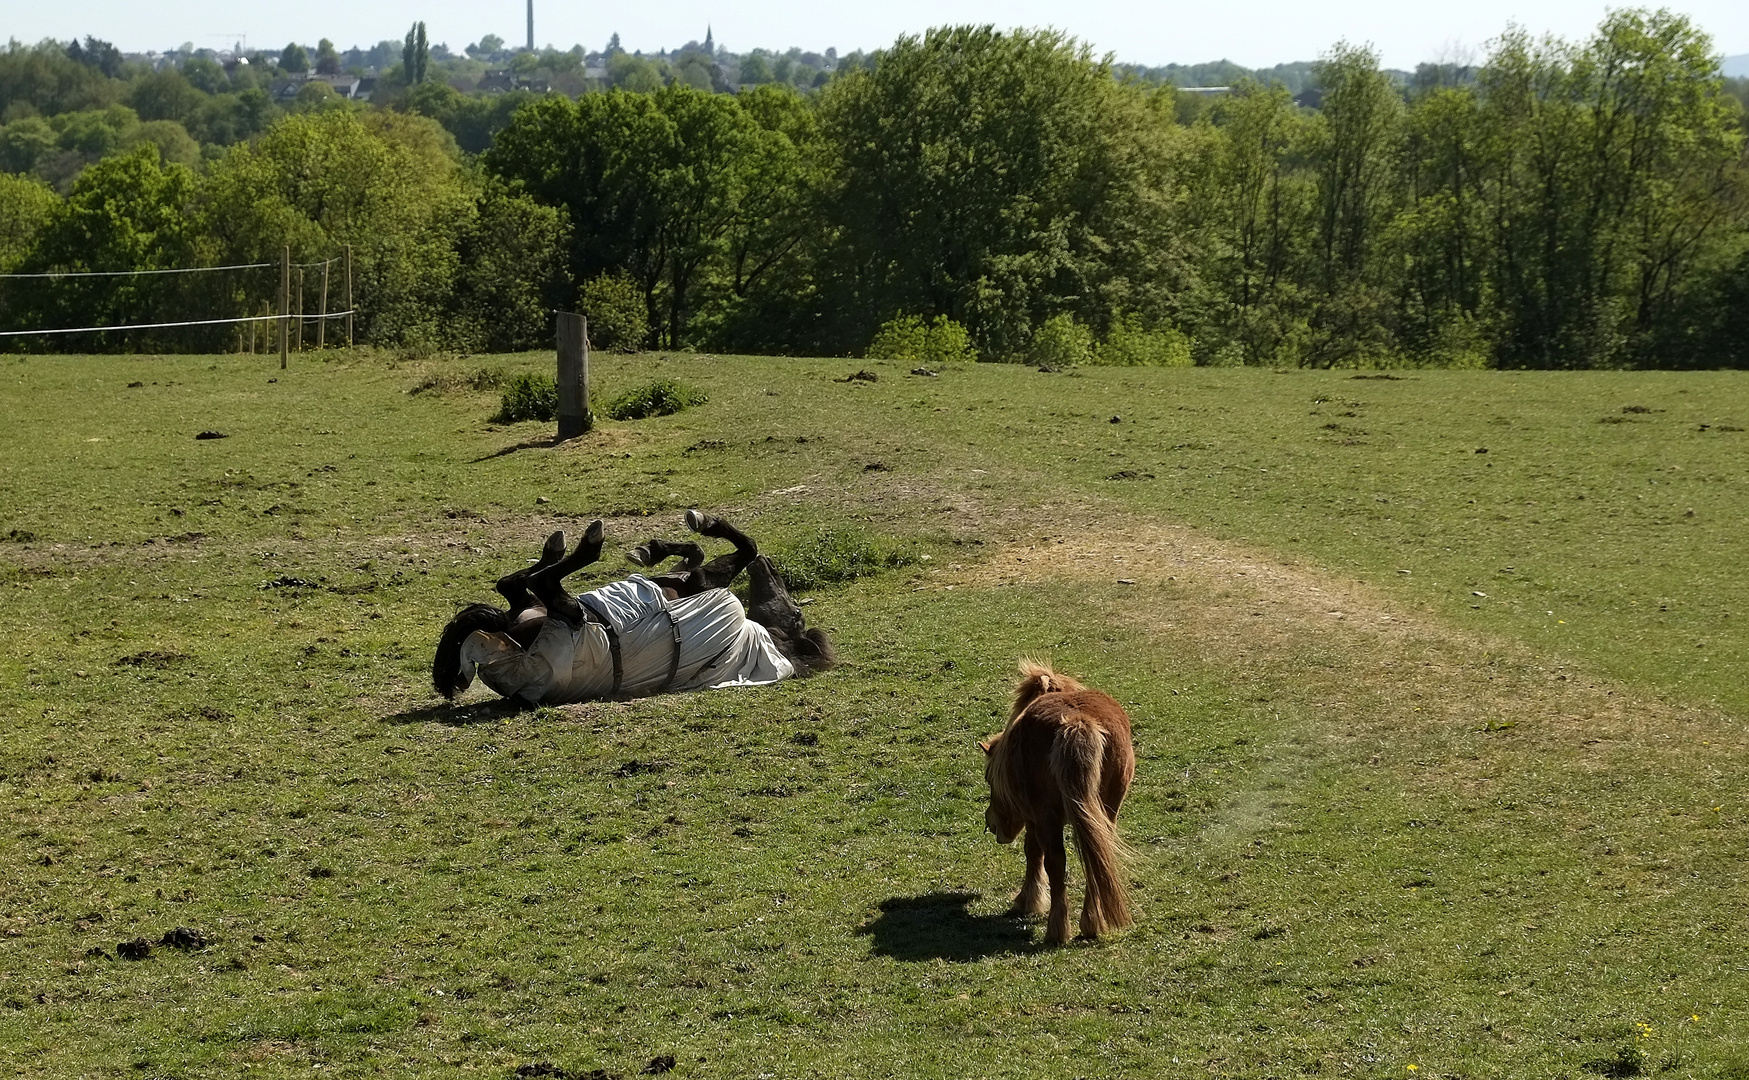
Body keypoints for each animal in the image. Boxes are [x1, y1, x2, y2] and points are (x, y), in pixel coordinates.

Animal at [979, 658, 1140, 945]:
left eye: (989, 777)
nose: (991, 824)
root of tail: (1077, 722)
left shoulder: (1035, 819)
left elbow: (1034, 854)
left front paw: (1027, 901)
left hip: (1049, 818)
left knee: (1056, 862)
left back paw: (1058, 930)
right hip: (1105, 813)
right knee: (1098, 859)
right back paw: (1092, 923)